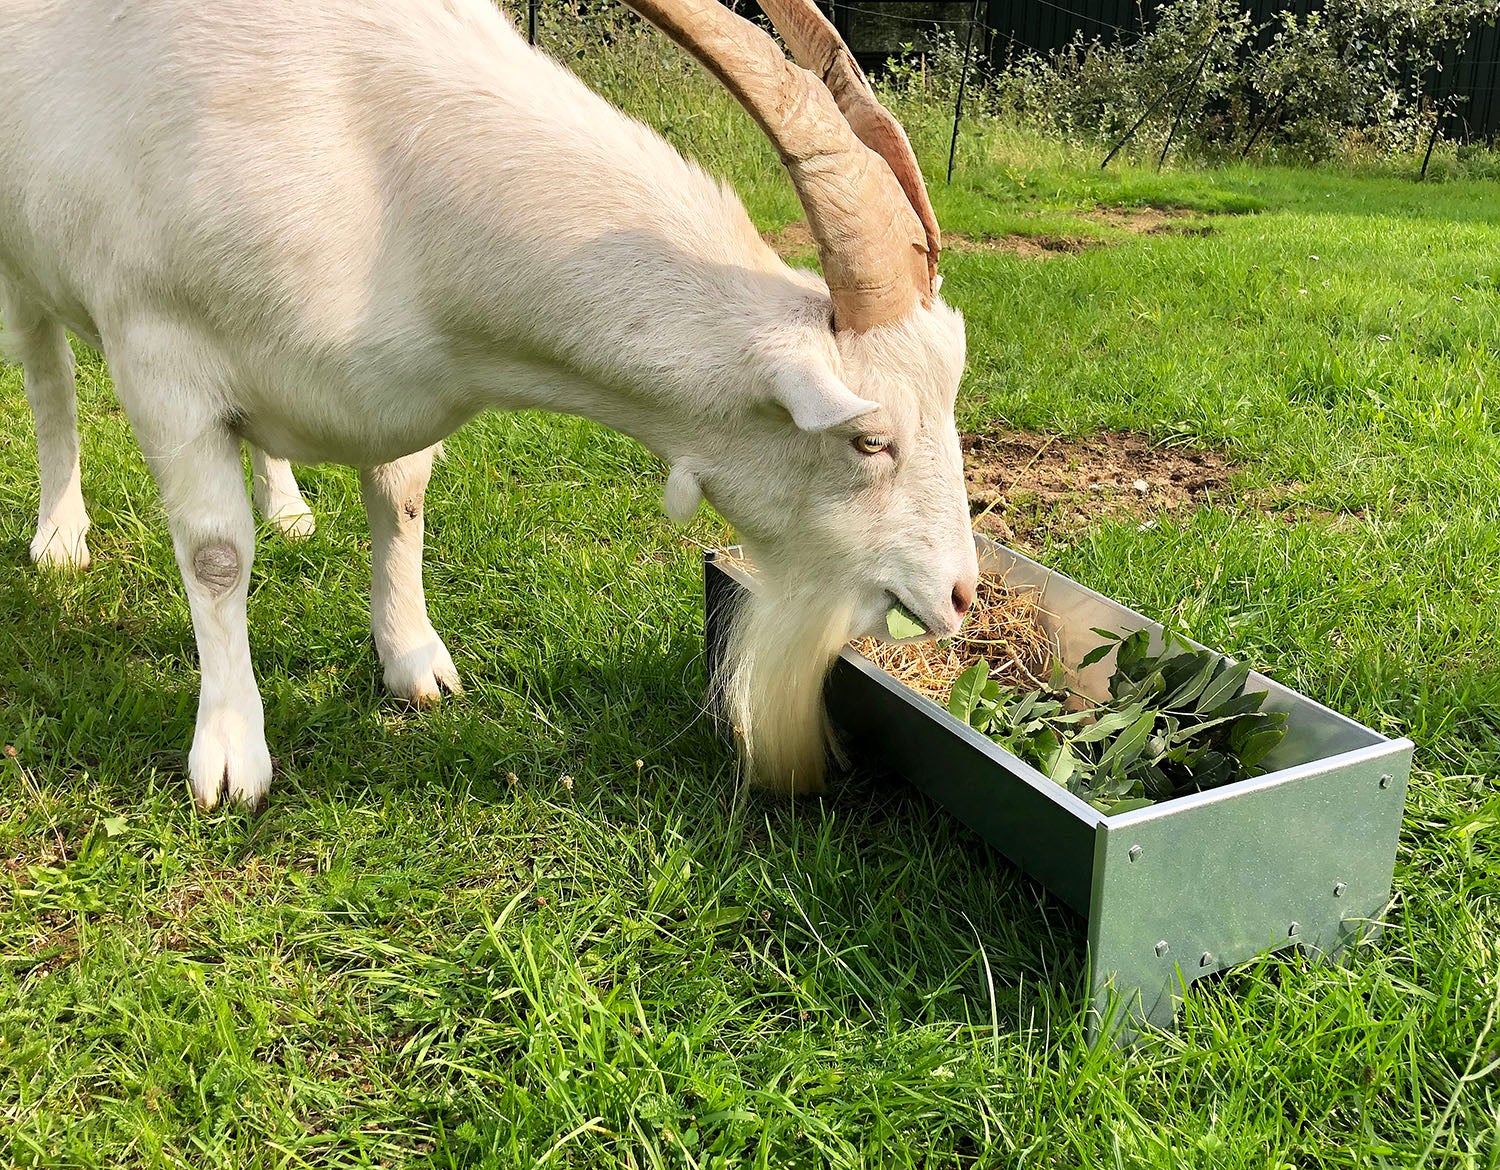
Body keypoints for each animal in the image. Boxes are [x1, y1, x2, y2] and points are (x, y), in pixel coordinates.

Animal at [0, 0, 978, 808]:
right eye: (869, 440)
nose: (960, 595)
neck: (373, 162)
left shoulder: (393, 381)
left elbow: (400, 500)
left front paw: (414, 664)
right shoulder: (159, 350)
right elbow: (213, 555)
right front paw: (232, 755)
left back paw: (287, 506)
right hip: (25, 266)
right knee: (49, 380)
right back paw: (61, 537)